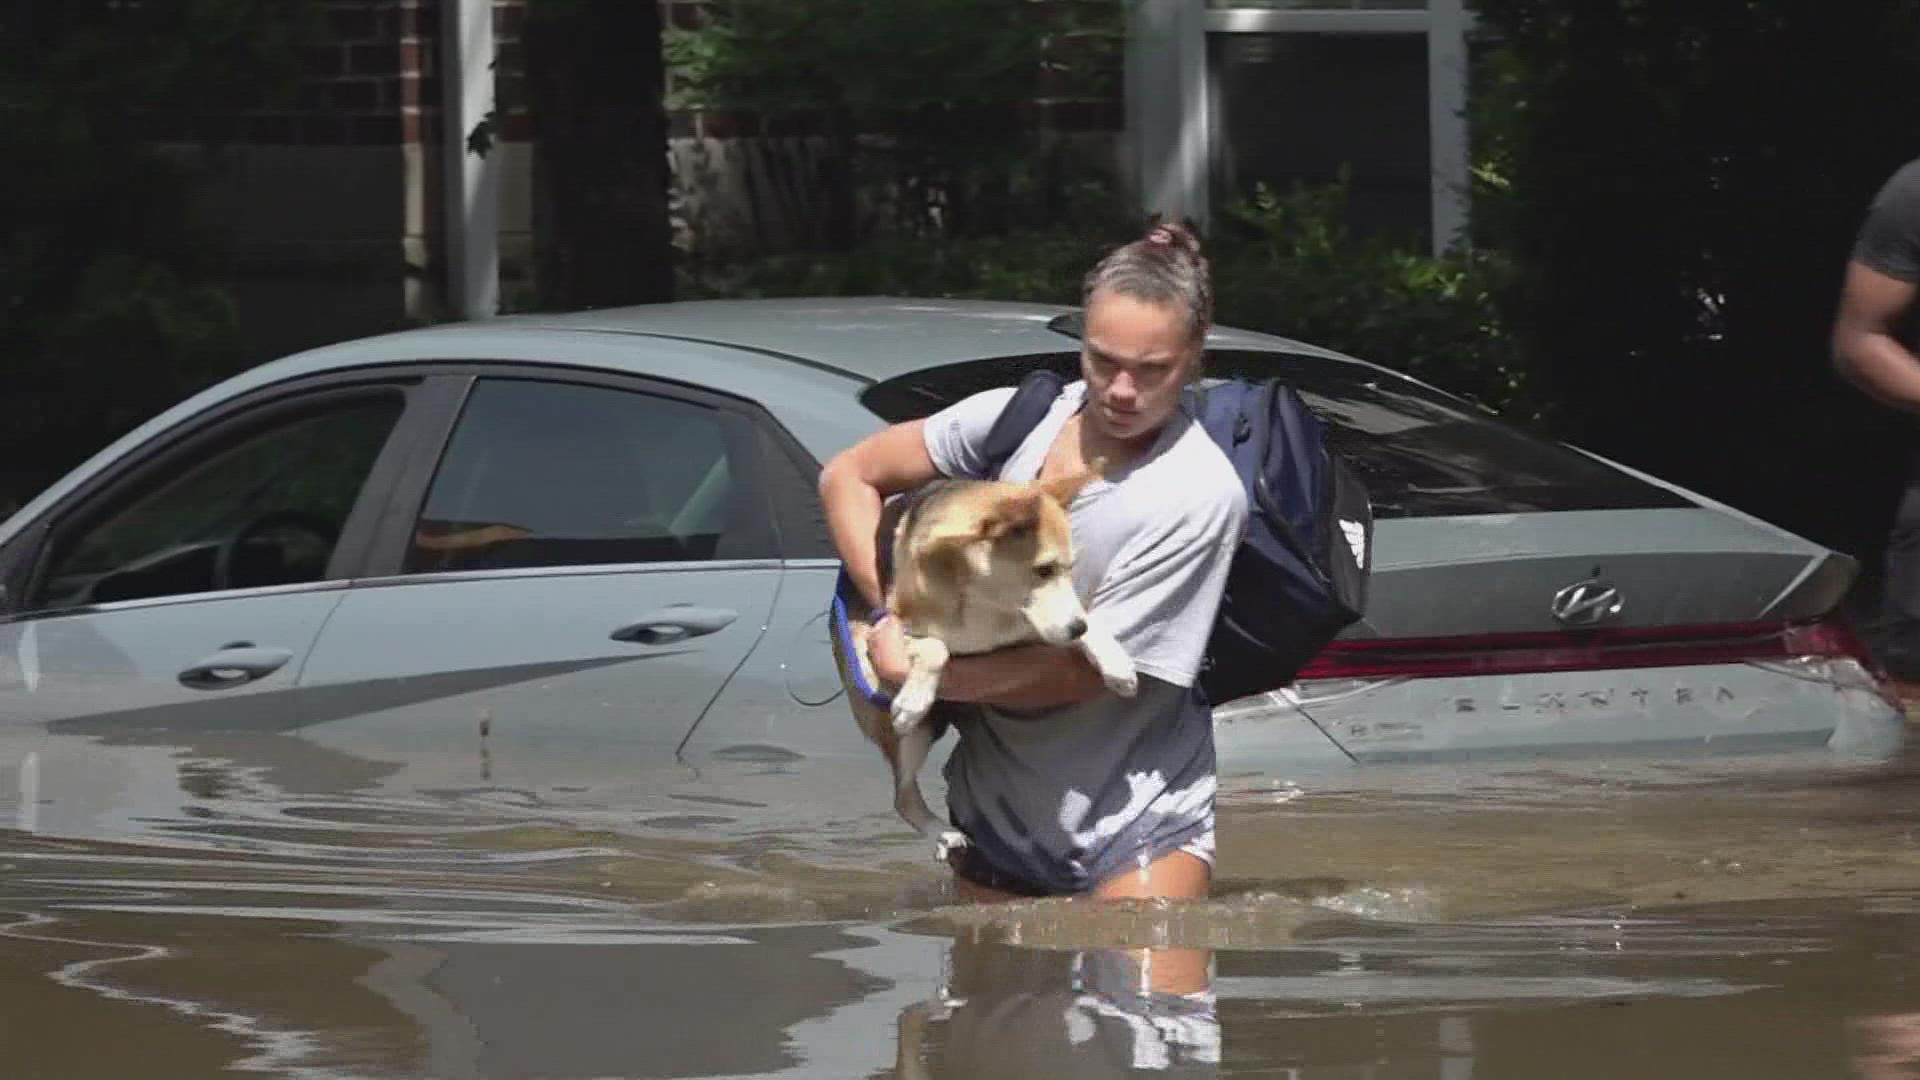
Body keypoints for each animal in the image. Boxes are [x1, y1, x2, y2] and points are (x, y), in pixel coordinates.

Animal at [829, 465, 1128, 857]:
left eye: (1069, 569)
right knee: (902, 796)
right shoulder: (891, 630)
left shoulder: (1037, 627)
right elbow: (935, 648)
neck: (985, 599)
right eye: (1044, 569)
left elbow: (1091, 623)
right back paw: (942, 829)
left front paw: (1117, 663)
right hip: (905, 725)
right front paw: (914, 699)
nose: (1075, 628)